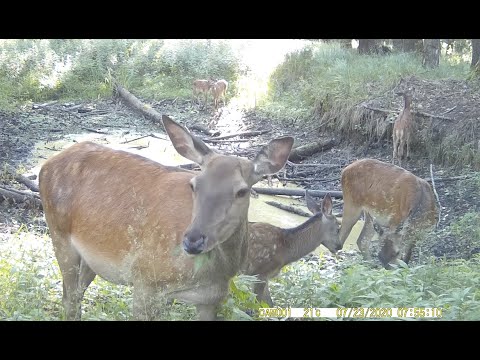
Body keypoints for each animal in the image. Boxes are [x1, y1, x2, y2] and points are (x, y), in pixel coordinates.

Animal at [38, 114, 292, 320]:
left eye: (242, 191)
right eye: (194, 184)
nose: (192, 240)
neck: (216, 272)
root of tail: (47, 164)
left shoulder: (211, 298)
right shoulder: (144, 279)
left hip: (91, 258)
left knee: (75, 294)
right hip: (59, 235)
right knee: (70, 298)